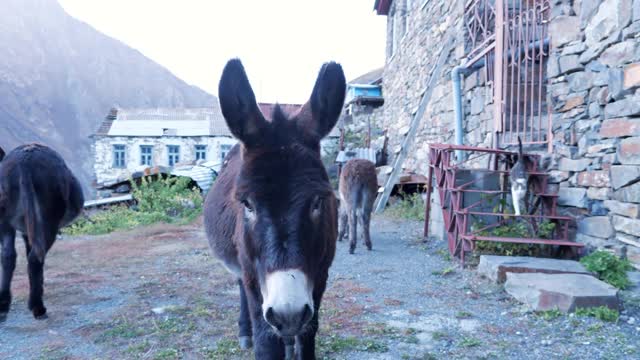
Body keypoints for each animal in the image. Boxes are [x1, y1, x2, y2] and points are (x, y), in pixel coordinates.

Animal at [0, 142, 84, 320]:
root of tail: (24, 161)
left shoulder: (27, 231)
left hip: (5, 220)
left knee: (8, 255)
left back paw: (3, 306)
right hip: (48, 220)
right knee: (35, 258)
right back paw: (37, 307)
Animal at [204, 59, 344, 360]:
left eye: (317, 202)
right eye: (247, 204)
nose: (287, 313)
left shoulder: (320, 276)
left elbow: (308, 335)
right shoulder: (254, 278)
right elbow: (267, 342)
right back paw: (245, 332)